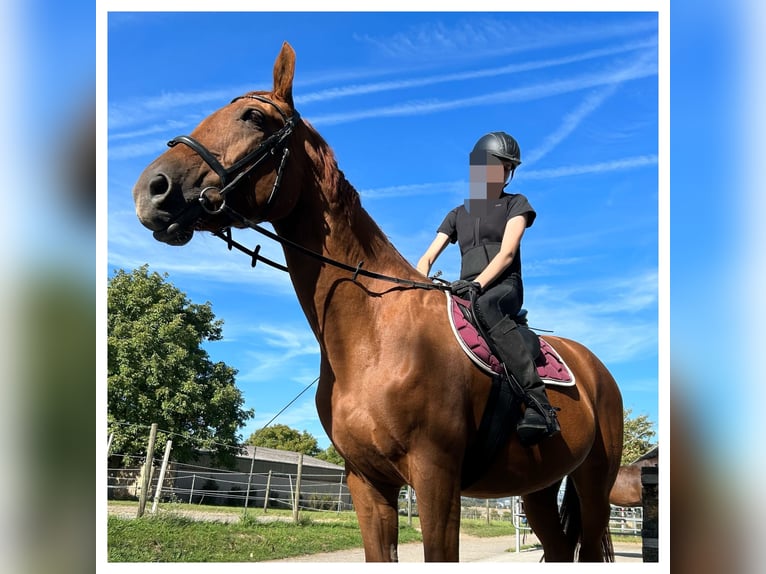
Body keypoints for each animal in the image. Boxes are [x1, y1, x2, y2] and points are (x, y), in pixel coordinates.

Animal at [130, 44, 624, 564]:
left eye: (254, 117)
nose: (151, 190)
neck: (375, 334)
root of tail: (595, 368)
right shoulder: (367, 483)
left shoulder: (436, 481)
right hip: (538, 489)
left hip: (594, 485)